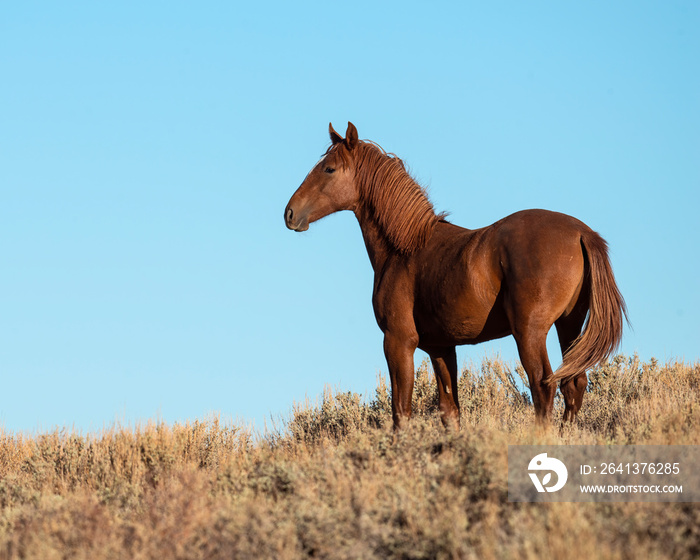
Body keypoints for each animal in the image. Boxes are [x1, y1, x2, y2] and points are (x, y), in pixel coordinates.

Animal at [284, 121, 628, 428]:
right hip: (568, 325)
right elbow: (449, 411)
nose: (290, 213)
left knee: (544, 386)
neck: (405, 249)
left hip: (530, 332)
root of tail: (581, 233)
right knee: (574, 384)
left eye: (329, 169)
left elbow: (400, 412)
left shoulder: (398, 342)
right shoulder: (441, 348)